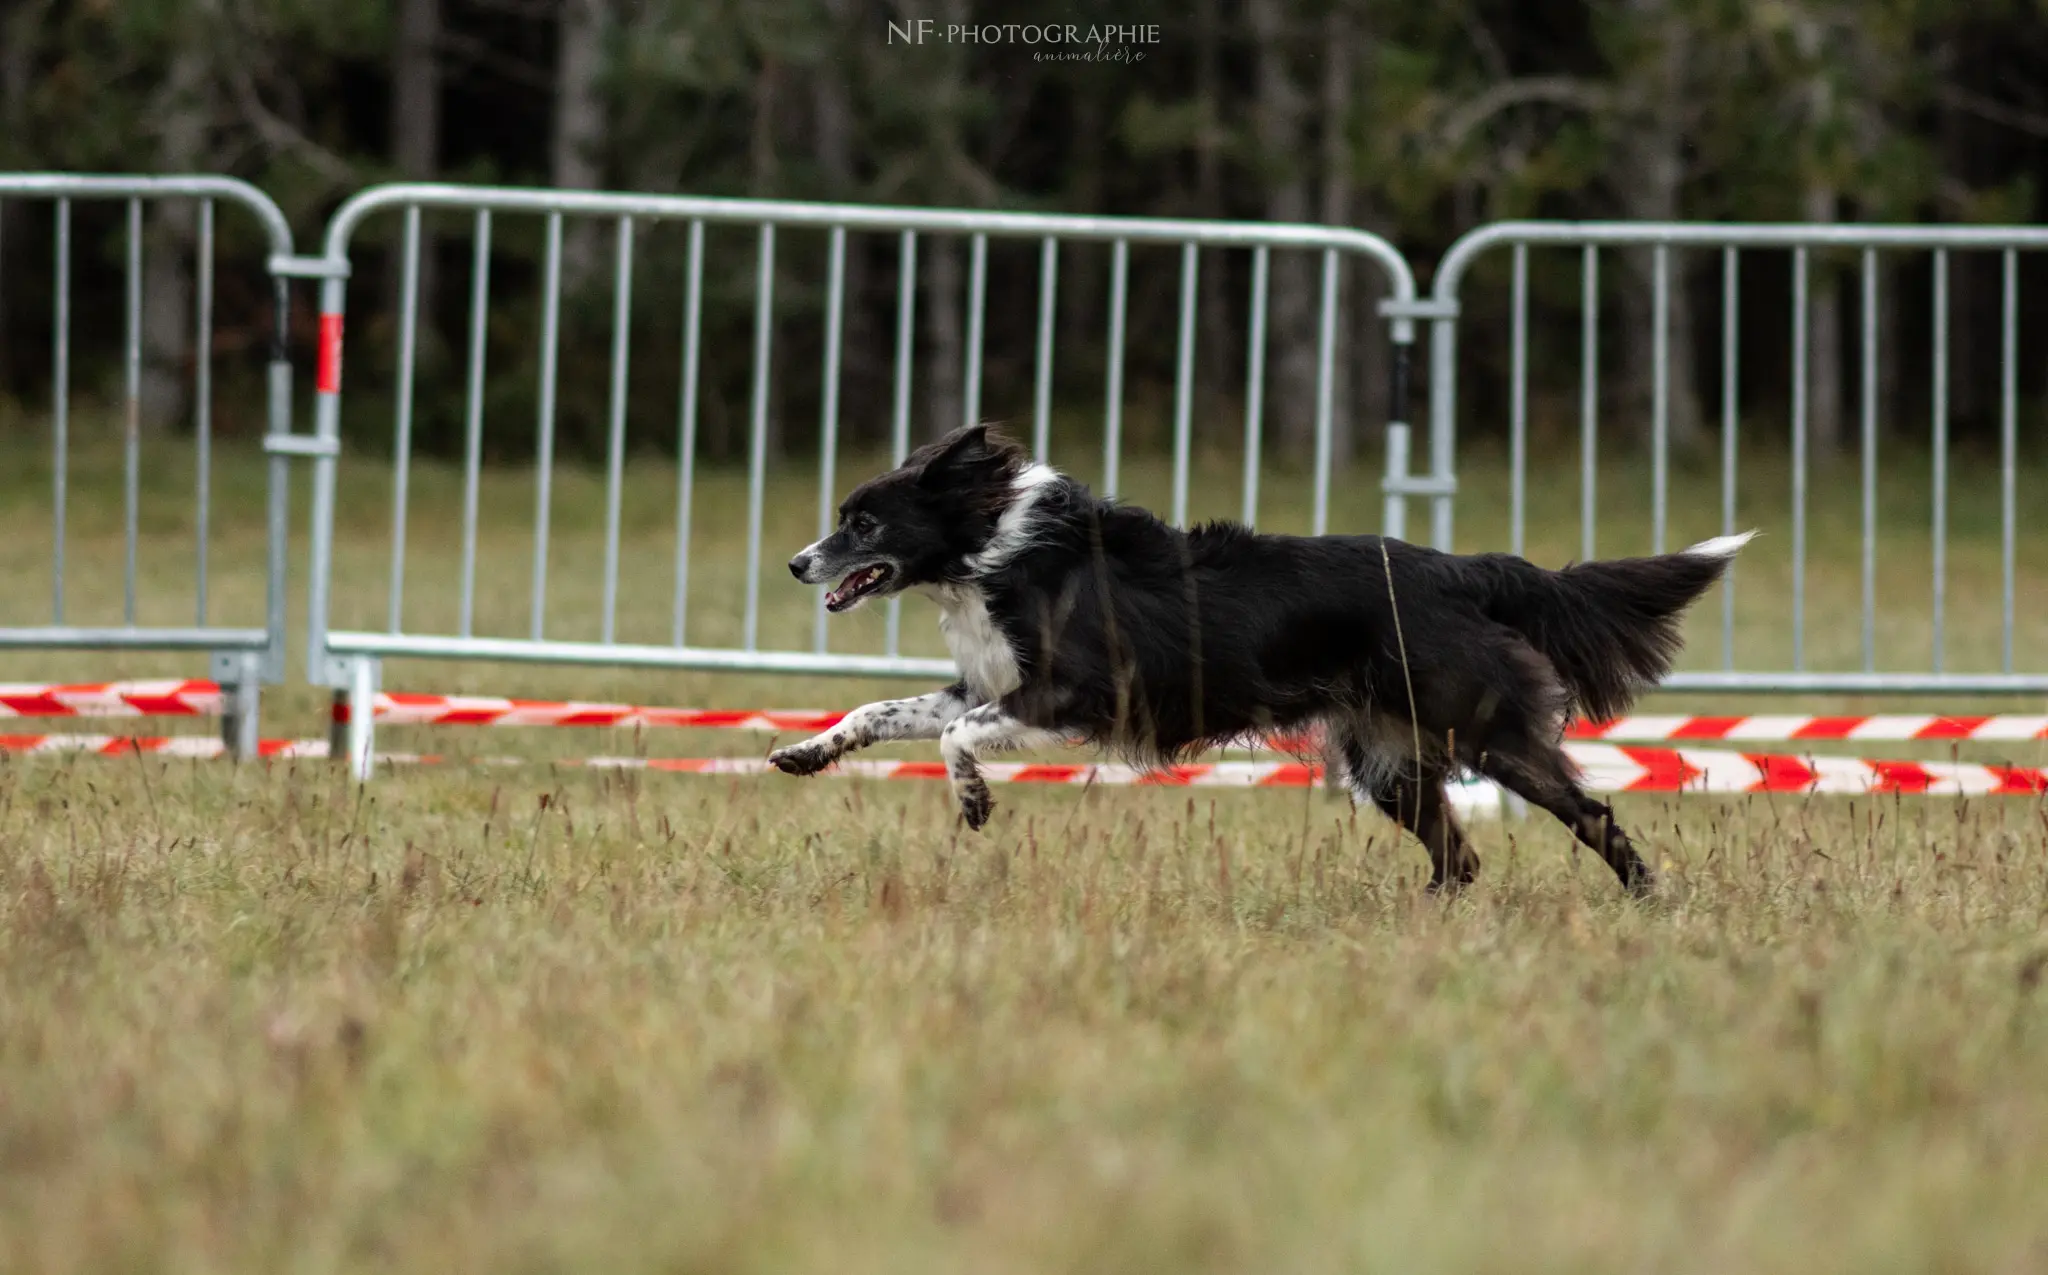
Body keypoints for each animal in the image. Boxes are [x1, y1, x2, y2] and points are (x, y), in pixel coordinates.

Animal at [774, 423, 1753, 892]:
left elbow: (956, 739)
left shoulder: (1074, 692)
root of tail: (1460, 568)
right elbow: (880, 711)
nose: (795, 562)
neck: (994, 550)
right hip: (1387, 757)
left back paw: (1649, 898)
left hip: (1483, 729)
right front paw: (803, 751)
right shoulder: (991, 682)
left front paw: (974, 802)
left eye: (864, 522)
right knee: (1459, 857)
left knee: (1589, 811)